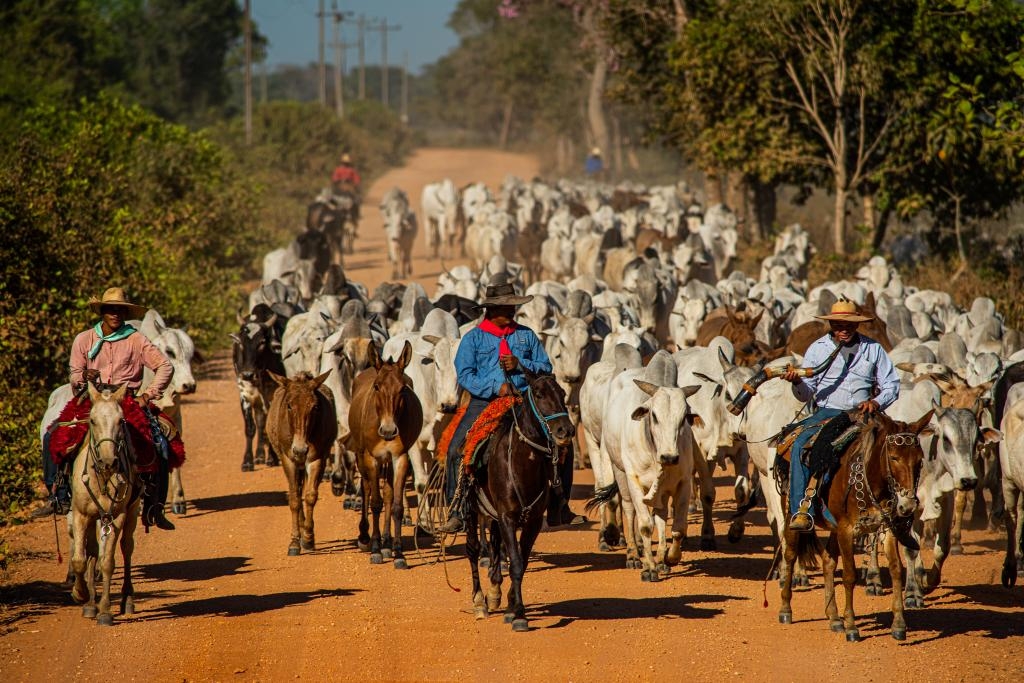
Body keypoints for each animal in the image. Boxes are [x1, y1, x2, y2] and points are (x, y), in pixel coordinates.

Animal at [69, 382, 141, 626]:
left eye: (121, 421)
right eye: (92, 420)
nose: (109, 462)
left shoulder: (115, 516)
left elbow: (107, 562)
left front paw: (105, 610)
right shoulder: (81, 514)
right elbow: (80, 560)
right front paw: (80, 594)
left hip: (132, 512)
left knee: (127, 548)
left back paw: (126, 599)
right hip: (94, 518)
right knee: (91, 551)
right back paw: (90, 602)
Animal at [264, 368, 335, 557]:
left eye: (315, 406)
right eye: (289, 405)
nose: (300, 449)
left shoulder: (317, 459)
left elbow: (310, 496)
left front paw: (309, 538)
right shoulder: (288, 460)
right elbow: (295, 499)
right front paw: (295, 542)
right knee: (296, 490)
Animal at [346, 342, 421, 573]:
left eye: (403, 388)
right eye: (377, 387)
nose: (388, 431)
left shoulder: (400, 457)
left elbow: (395, 505)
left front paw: (398, 553)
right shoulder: (372, 458)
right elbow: (375, 502)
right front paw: (376, 550)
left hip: (388, 462)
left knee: (387, 493)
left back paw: (387, 543)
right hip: (362, 456)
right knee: (367, 489)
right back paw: (365, 537)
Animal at [462, 370, 577, 634]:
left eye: (562, 393)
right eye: (539, 394)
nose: (566, 430)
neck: (524, 463)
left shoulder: (532, 521)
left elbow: (521, 562)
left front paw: (511, 606)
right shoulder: (507, 517)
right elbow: (514, 561)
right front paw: (519, 615)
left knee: (495, 547)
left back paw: (494, 593)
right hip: (472, 509)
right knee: (473, 550)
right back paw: (479, 602)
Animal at [778, 411, 933, 643]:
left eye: (919, 459)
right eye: (894, 457)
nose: (907, 506)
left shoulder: (886, 529)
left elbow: (896, 569)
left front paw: (898, 624)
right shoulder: (846, 529)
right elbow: (849, 575)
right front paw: (851, 627)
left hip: (833, 528)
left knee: (828, 560)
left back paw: (834, 618)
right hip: (791, 515)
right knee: (790, 554)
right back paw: (786, 609)